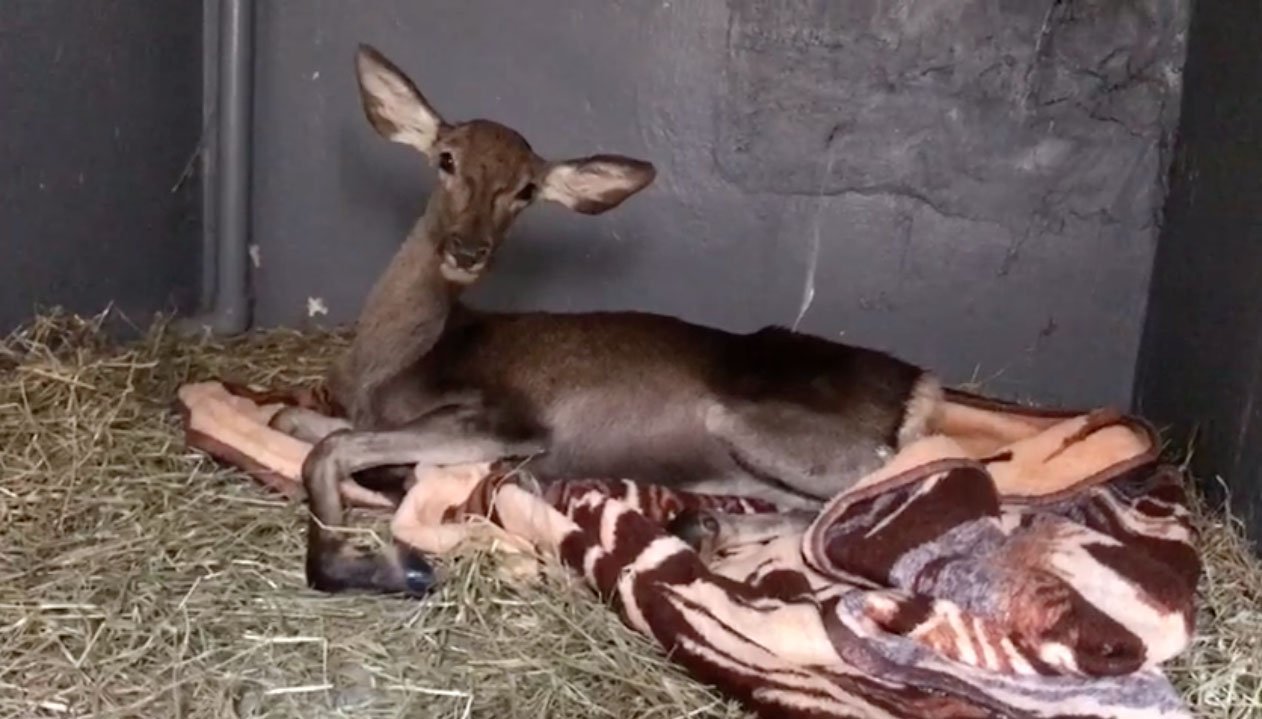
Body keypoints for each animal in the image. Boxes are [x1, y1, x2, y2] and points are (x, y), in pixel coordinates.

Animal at [268, 44, 949, 597]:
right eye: (445, 158)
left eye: (527, 190)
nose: (466, 250)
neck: (392, 364)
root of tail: (922, 390)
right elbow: (289, 419)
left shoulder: (508, 420)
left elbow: (330, 449)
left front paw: (375, 563)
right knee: (818, 515)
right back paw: (701, 525)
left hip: (760, 425)